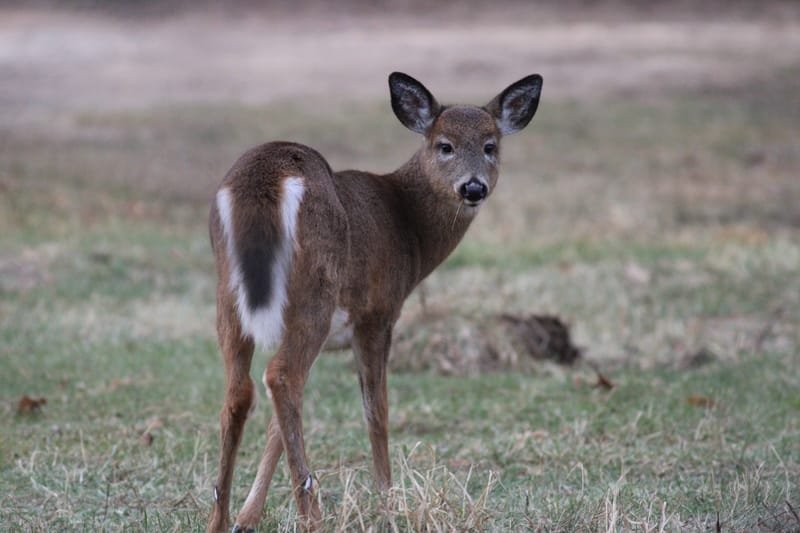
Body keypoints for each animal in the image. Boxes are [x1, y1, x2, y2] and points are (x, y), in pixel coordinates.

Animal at [206, 71, 543, 533]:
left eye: (490, 145)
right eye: (445, 145)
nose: (473, 187)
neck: (408, 227)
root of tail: (263, 182)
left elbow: (276, 428)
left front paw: (247, 516)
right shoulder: (379, 313)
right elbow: (376, 410)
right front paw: (389, 502)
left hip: (229, 293)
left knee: (240, 392)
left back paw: (219, 519)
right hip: (314, 291)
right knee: (281, 377)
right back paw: (313, 516)